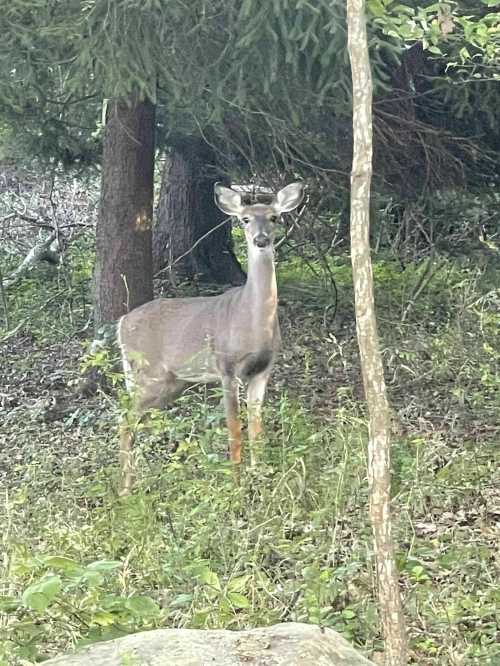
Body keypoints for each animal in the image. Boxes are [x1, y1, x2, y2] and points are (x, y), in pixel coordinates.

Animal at [118, 179, 304, 490]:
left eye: (275, 217)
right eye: (245, 219)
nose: (261, 240)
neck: (253, 323)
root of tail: (120, 324)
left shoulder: (263, 370)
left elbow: (256, 428)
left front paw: (259, 474)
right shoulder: (227, 367)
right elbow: (234, 428)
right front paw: (237, 483)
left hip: (171, 383)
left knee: (135, 419)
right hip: (149, 372)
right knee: (125, 419)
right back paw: (126, 488)